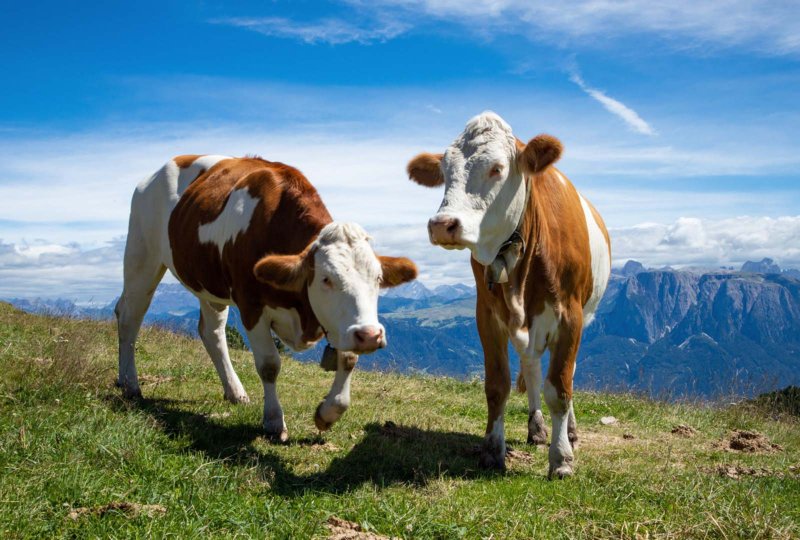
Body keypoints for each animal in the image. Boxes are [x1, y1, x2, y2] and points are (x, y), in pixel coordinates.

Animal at [119, 154, 418, 440]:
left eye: (377, 279)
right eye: (326, 279)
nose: (370, 336)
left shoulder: (342, 323)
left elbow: (347, 360)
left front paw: (327, 413)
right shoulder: (251, 306)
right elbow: (269, 365)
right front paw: (274, 421)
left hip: (208, 283)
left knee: (211, 332)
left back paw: (235, 391)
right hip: (141, 255)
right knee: (129, 315)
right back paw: (129, 384)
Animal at [410, 113, 608, 476]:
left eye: (497, 168)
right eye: (445, 170)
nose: (442, 225)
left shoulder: (570, 315)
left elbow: (560, 387)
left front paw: (561, 459)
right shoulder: (486, 314)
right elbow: (497, 385)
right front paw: (492, 450)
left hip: (584, 315)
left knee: (566, 373)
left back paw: (570, 432)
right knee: (531, 367)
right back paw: (537, 427)